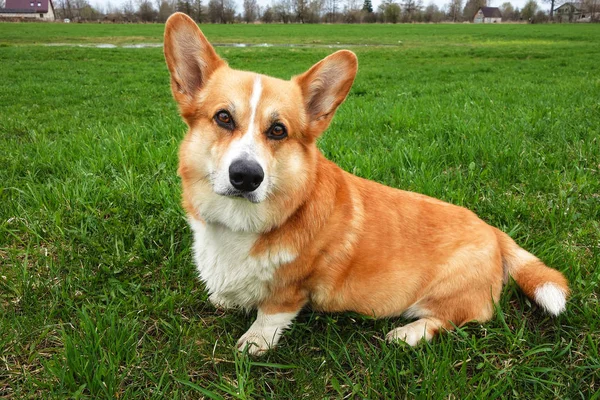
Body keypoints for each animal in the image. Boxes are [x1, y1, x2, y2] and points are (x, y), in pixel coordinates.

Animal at [162, 13, 568, 356]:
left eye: (278, 130)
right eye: (223, 118)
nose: (246, 176)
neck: (241, 223)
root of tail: (494, 232)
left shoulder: (291, 290)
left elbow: (270, 315)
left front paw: (254, 342)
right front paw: (227, 300)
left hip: (444, 297)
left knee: (453, 319)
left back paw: (407, 334)